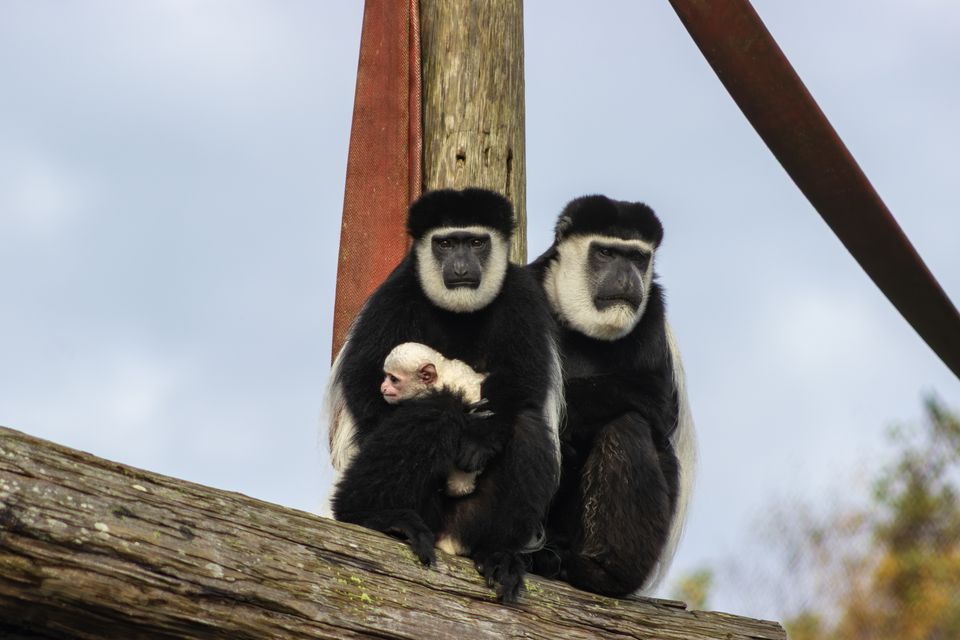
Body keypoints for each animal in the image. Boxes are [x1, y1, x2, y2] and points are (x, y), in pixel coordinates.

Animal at [526, 194, 697, 597]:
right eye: (605, 252)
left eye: (636, 257)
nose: (626, 277)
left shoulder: (652, 312)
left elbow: (656, 399)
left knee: (627, 425)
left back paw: (597, 572)